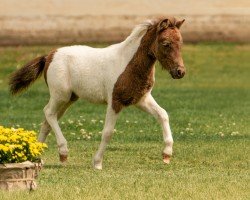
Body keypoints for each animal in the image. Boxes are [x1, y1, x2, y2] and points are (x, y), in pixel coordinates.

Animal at [9, 17, 186, 170]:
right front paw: (97, 163)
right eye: (166, 43)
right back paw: (63, 153)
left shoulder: (141, 99)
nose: (180, 72)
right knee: (48, 113)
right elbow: (107, 132)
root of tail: (49, 56)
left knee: (47, 121)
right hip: (60, 95)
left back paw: (37, 157)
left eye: (181, 43)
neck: (128, 65)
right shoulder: (115, 101)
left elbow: (163, 115)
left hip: (69, 99)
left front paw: (167, 154)